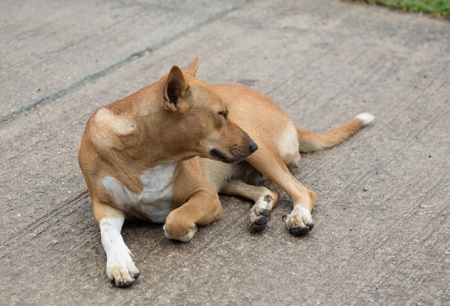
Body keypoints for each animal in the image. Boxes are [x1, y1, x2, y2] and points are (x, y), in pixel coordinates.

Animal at [79, 56, 374, 286]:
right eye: (221, 114)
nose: (252, 145)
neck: (144, 155)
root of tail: (287, 116)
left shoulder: (205, 195)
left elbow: (174, 219)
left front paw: (186, 231)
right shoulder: (105, 206)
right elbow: (108, 233)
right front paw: (119, 264)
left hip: (261, 153)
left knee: (302, 191)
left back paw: (298, 216)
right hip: (230, 175)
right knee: (269, 191)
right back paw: (259, 212)